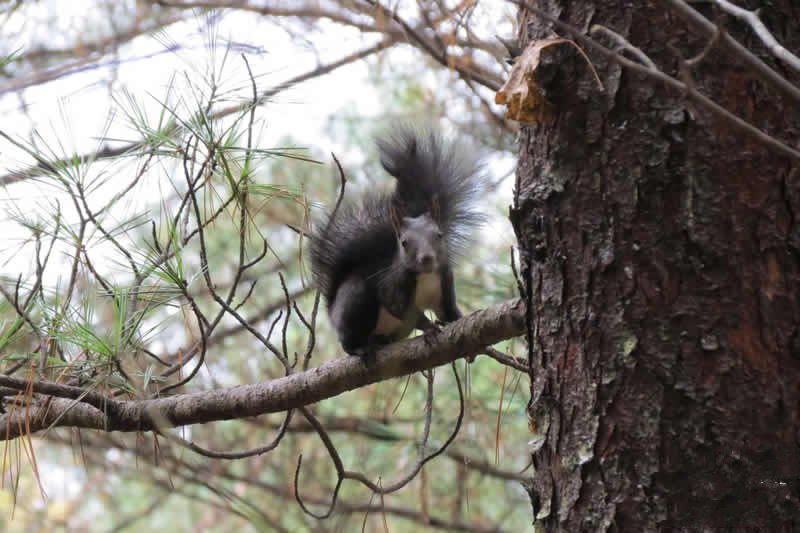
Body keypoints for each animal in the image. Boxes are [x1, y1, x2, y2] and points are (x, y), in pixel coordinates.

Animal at [310, 126, 484, 356]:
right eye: (404, 242)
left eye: (439, 235)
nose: (427, 258)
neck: (425, 276)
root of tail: (332, 312)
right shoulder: (392, 287)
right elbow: (401, 308)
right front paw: (429, 328)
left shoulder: (445, 284)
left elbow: (448, 313)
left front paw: (462, 323)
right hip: (354, 301)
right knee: (348, 341)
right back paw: (361, 348)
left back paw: (383, 340)